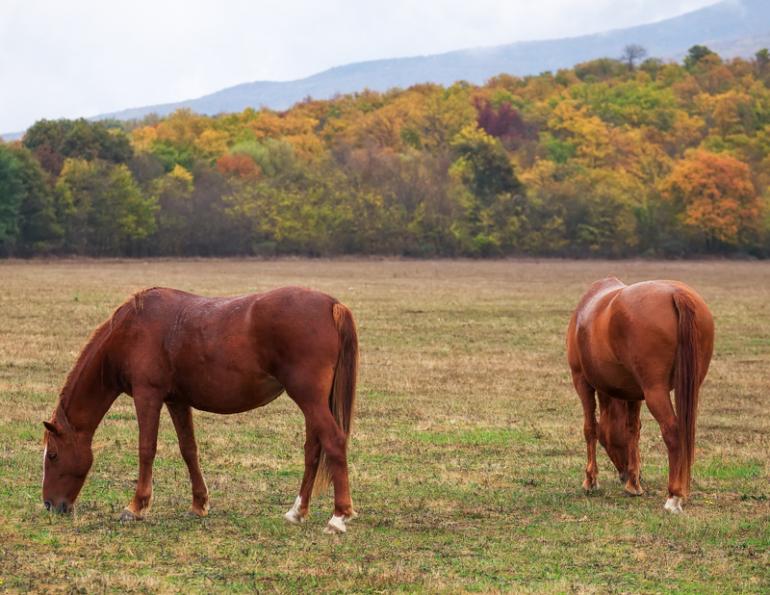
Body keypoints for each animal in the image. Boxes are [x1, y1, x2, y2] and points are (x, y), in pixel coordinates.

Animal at [42, 286, 359, 534]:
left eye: (53, 455)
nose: (50, 504)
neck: (131, 330)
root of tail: (332, 305)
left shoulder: (147, 396)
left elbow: (146, 448)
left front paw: (135, 507)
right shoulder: (177, 401)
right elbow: (188, 450)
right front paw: (199, 504)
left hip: (309, 398)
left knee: (333, 441)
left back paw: (338, 517)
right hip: (313, 401)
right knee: (313, 449)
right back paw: (297, 512)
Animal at [566, 278, 714, 513]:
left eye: (605, 443)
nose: (623, 473)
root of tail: (676, 294)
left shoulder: (581, 381)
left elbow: (590, 429)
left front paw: (591, 480)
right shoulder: (633, 393)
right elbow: (633, 431)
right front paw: (633, 484)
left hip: (655, 391)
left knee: (673, 432)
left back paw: (674, 496)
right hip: (691, 387)